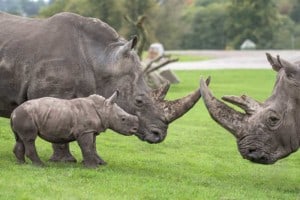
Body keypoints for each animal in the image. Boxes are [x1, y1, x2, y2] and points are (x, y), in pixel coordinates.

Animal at [9, 91, 139, 168]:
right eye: (123, 119)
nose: (135, 129)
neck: (103, 108)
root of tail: (13, 112)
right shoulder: (84, 131)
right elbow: (87, 147)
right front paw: (93, 168)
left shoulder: (91, 130)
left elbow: (92, 146)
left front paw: (96, 164)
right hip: (26, 115)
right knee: (30, 139)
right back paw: (41, 165)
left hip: (23, 116)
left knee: (20, 139)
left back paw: (21, 164)